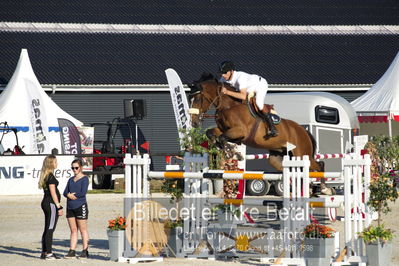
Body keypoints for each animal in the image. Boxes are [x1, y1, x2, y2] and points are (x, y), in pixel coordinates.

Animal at [189, 74, 324, 171]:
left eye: (197, 99)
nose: (194, 123)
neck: (229, 106)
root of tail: (304, 131)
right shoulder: (224, 129)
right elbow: (211, 133)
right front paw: (228, 150)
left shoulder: (240, 131)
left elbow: (222, 138)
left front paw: (232, 153)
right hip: (277, 157)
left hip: (302, 153)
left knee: (319, 165)